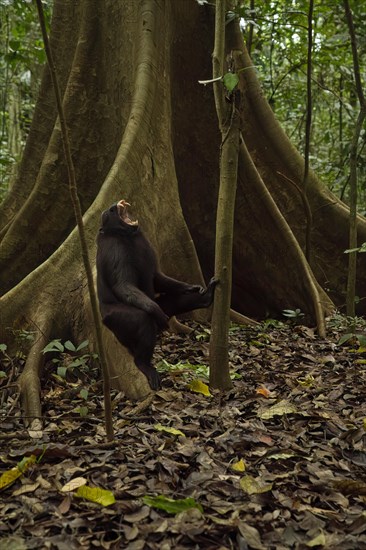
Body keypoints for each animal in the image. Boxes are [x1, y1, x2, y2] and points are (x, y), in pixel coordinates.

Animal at [96, 201, 219, 390]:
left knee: (173, 300)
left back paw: (206, 297)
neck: (125, 236)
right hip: (112, 318)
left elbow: (157, 277)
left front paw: (191, 287)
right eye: (109, 212)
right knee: (144, 320)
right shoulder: (116, 251)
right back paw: (144, 364)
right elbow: (123, 285)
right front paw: (156, 312)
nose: (113, 206)